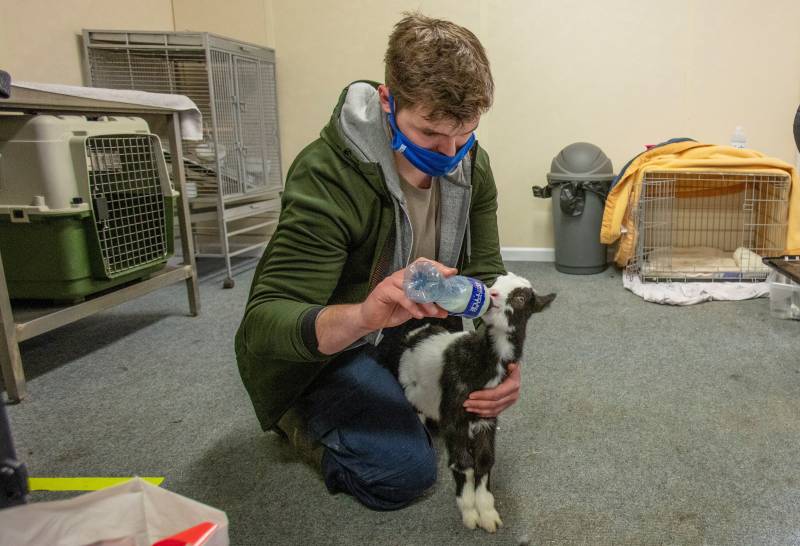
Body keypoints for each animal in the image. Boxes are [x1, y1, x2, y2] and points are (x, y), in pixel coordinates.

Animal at [376, 274, 552, 528]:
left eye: (520, 298)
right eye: (495, 282)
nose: (492, 294)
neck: (483, 359)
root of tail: (414, 334)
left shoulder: (487, 415)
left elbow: (485, 461)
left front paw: (487, 512)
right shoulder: (453, 415)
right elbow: (463, 463)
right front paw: (469, 511)